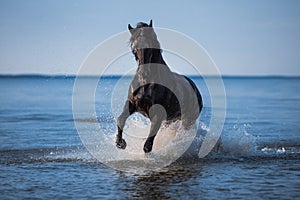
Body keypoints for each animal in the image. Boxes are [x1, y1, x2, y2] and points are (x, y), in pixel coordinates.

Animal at [116, 19, 203, 153]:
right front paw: (120, 143)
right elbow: (121, 120)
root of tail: (195, 88)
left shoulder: (158, 114)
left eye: (151, 45)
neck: (147, 84)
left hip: (187, 120)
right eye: (135, 48)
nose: (144, 73)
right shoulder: (132, 104)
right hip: (170, 120)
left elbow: (147, 146)